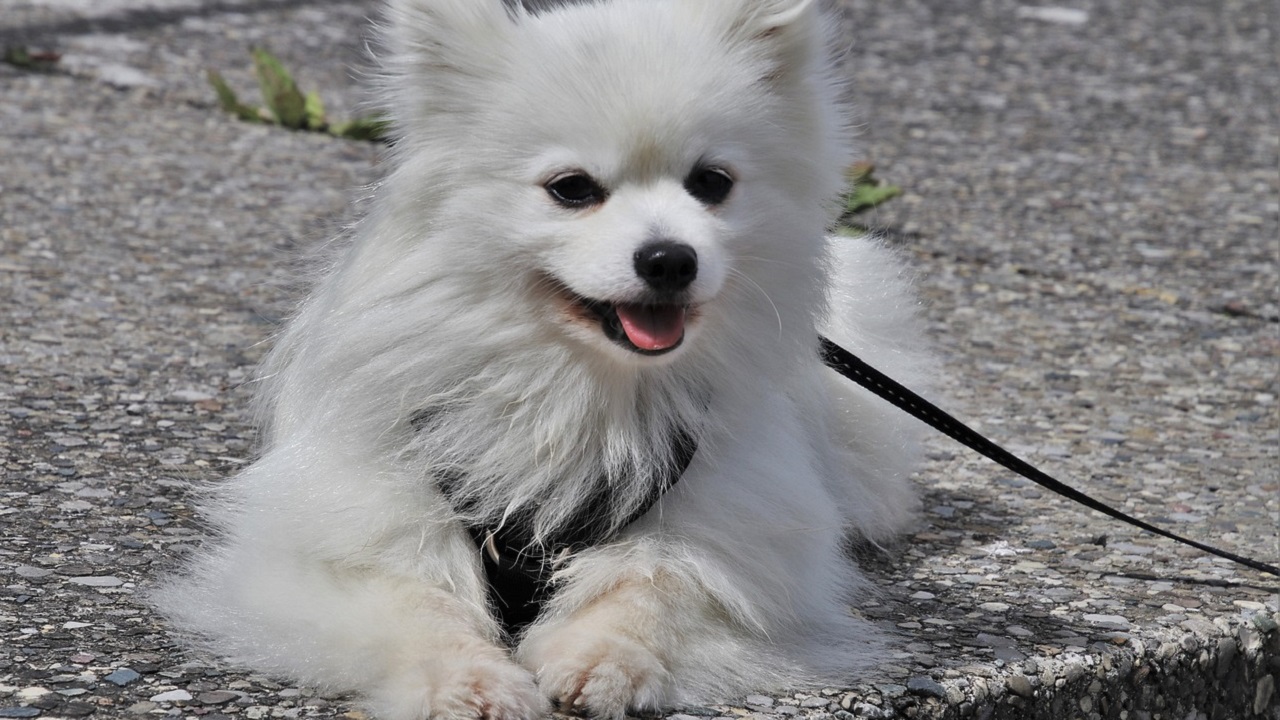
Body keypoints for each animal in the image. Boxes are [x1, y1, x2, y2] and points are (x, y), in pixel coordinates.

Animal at [162, 0, 931, 712]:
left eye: (712, 183)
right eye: (571, 189)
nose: (670, 259)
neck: (576, 385)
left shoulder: (734, 531)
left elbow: (653, 587)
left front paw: (605, 661)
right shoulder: (337, 540)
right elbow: (417, 606)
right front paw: (468, 683)